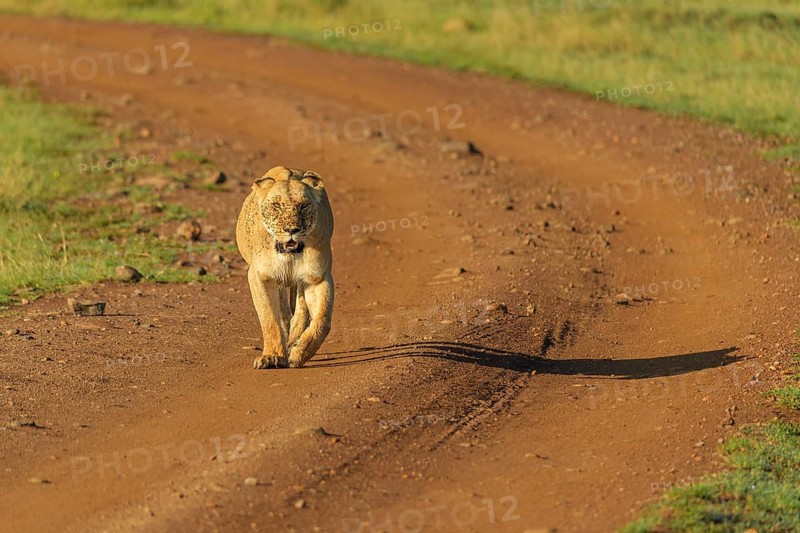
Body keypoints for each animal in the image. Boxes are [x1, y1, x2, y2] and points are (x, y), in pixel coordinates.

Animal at [236, 166, 334, 369]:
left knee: (300, 309)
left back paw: (294, 339)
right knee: (283, 312)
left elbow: (322, 320)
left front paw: (299, 353)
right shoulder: (260, 276)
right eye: (276, 205)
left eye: (304, 205)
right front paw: (272, 356)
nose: (292, 230)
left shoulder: (317, 277)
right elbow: (269, 318)